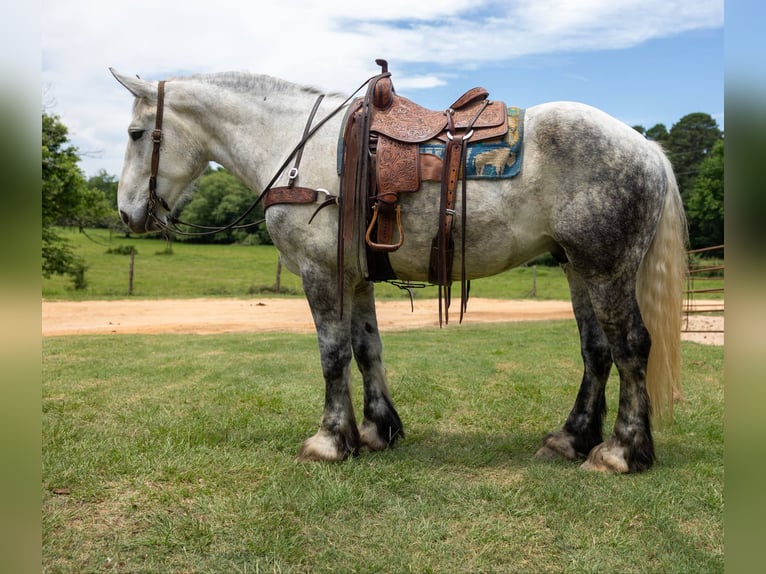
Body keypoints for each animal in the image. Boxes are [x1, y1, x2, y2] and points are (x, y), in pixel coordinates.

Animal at [110, 65, 686, 473]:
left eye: (137, 133)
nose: (129, 213)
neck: (296, 148)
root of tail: (645, 147)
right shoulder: (356, 276)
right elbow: (367, 349)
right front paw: (375, 430)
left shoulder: (322, 274)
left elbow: (333, 355)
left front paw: (329, 441)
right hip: (577, 267)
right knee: (597, 351)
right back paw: (570, 439)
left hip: (607, 268)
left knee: (631, 346)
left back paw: (621, 451)